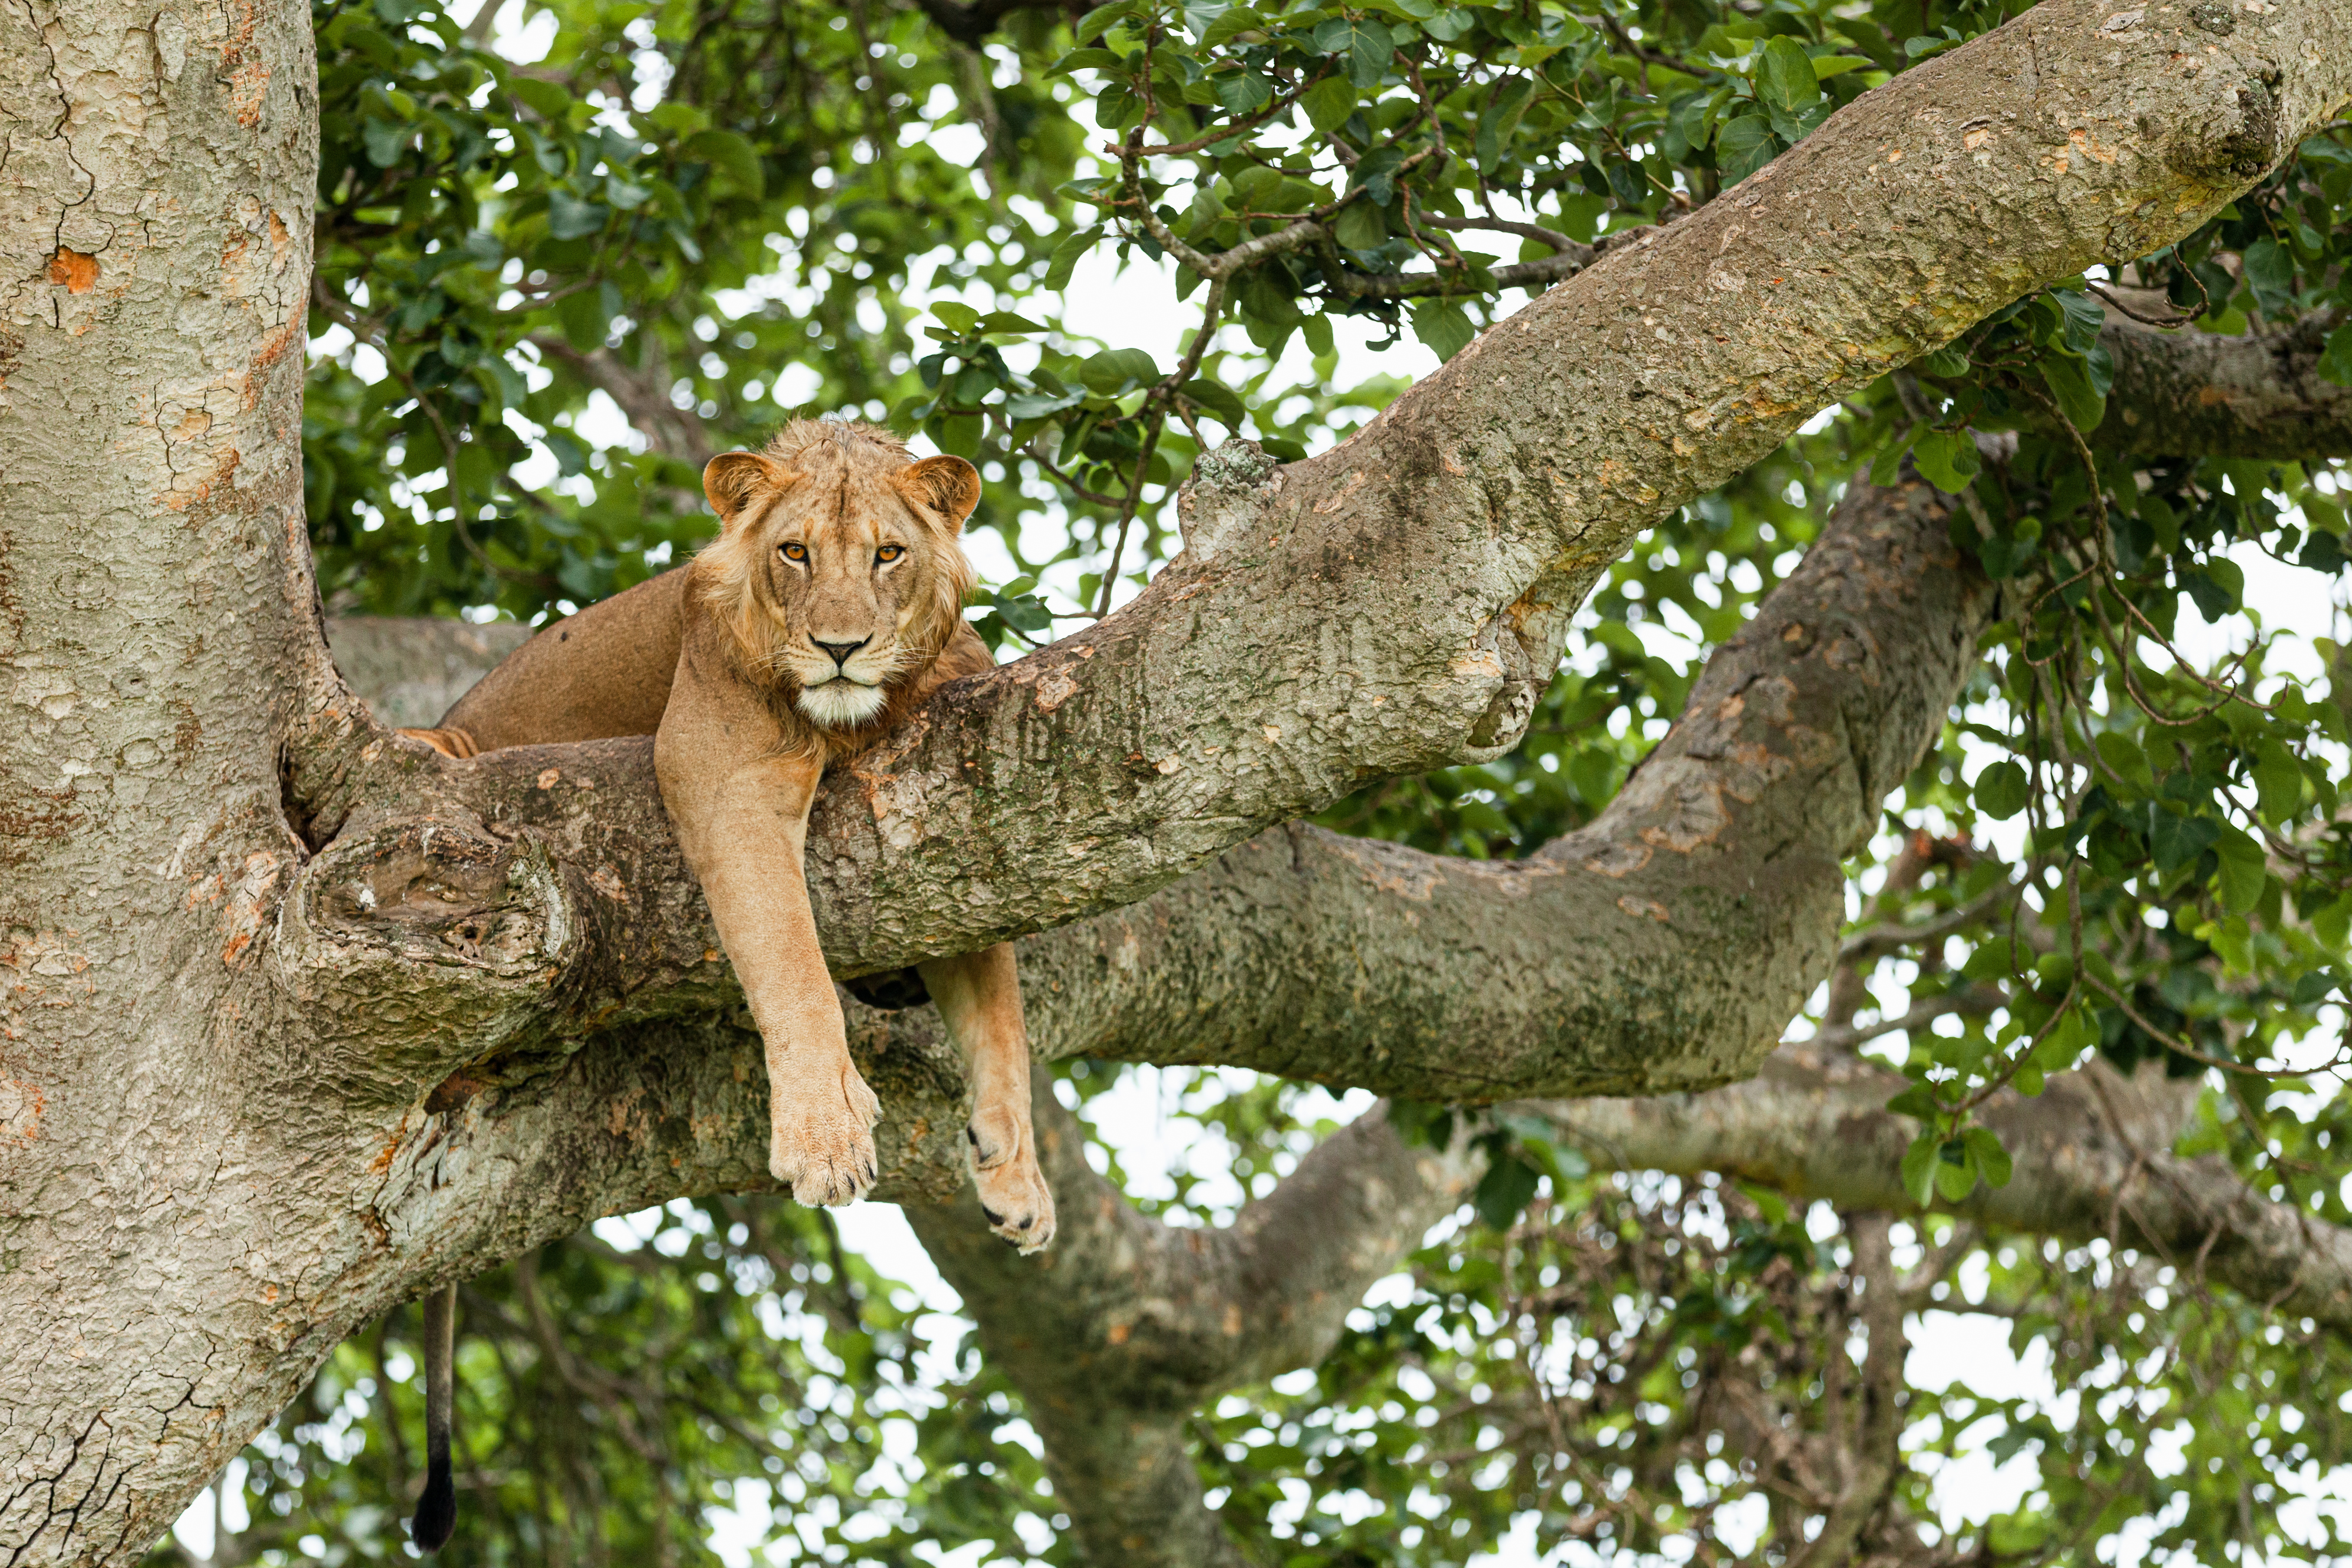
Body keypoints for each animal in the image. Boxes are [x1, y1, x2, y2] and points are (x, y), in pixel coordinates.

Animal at [393, 420, 1055, 1551]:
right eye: (794, 552)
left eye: (888, 555)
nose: (840, 648)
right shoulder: (726, 778)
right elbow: (789, 962)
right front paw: (825, 1134)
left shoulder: (958, 829)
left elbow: (999, 1020)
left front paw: (1018, 1179)